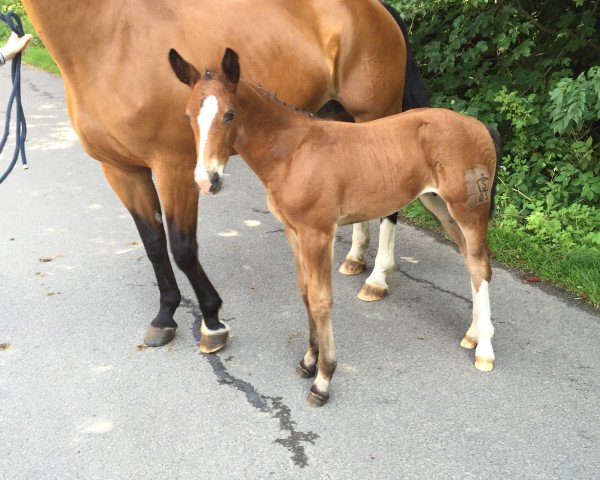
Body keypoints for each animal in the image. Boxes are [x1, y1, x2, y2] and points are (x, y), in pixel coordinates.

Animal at [19, 0, 426, 352]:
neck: (109, 39)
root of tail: (376, 9)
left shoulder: (174, 167)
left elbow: (182, 246)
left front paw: (212, 322)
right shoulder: (122, 171)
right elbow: (153, 243)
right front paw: (165, 315)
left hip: (378, 115)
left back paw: (377, 279)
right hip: (342, 116)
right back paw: (356, 258)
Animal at [170, 48, 502, 406]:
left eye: (230, 114)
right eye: (188, 117)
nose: (207, 181)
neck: (291, 152)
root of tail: (480, 126)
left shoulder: (318, 233)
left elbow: (320, 299)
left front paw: (323, 378)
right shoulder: (293, 232)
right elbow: (304, 293)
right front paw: (308, 361)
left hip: (469, 209)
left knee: (480, 263)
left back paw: (485, 349)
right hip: (438, 205)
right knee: (471, 262)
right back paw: (474, 333)